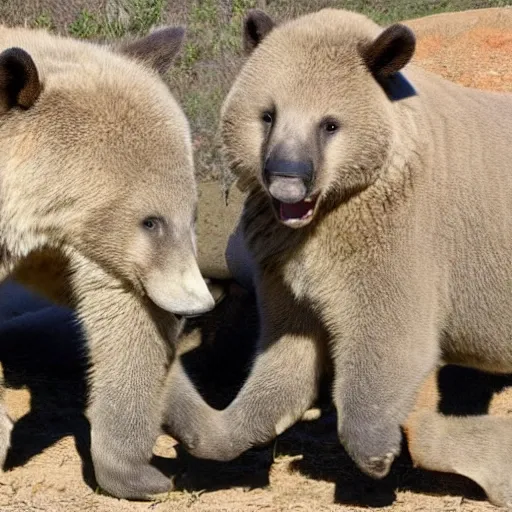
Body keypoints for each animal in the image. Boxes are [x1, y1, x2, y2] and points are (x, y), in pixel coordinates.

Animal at [0, 25, 214, 500]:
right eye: (150, 221)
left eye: (193, 213)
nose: (195, 304)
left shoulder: (76, 245)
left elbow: (126, 311)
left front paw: (134, 472)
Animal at [164, 7, 512, 508]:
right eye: (267, 115)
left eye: (330, 124)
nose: (286, 183)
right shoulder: (285, 268)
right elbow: (286, 368)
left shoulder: (407, 239)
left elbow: (396, 353)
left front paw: (384, 455)